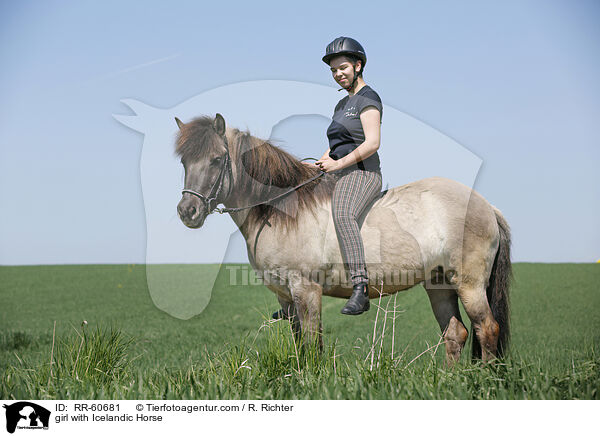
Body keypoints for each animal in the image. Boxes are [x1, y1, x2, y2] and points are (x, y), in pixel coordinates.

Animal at [175, 113, 510, 364]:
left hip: (469, 283)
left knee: (487, 329)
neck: (281, 208)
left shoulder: (306, 290)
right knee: (455, 334)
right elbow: (302, 343)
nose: (187, 211)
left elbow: (312, 345)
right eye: (184, 162)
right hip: (438, 283)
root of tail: (486, 206)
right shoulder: (286, 296)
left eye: (217, 159)